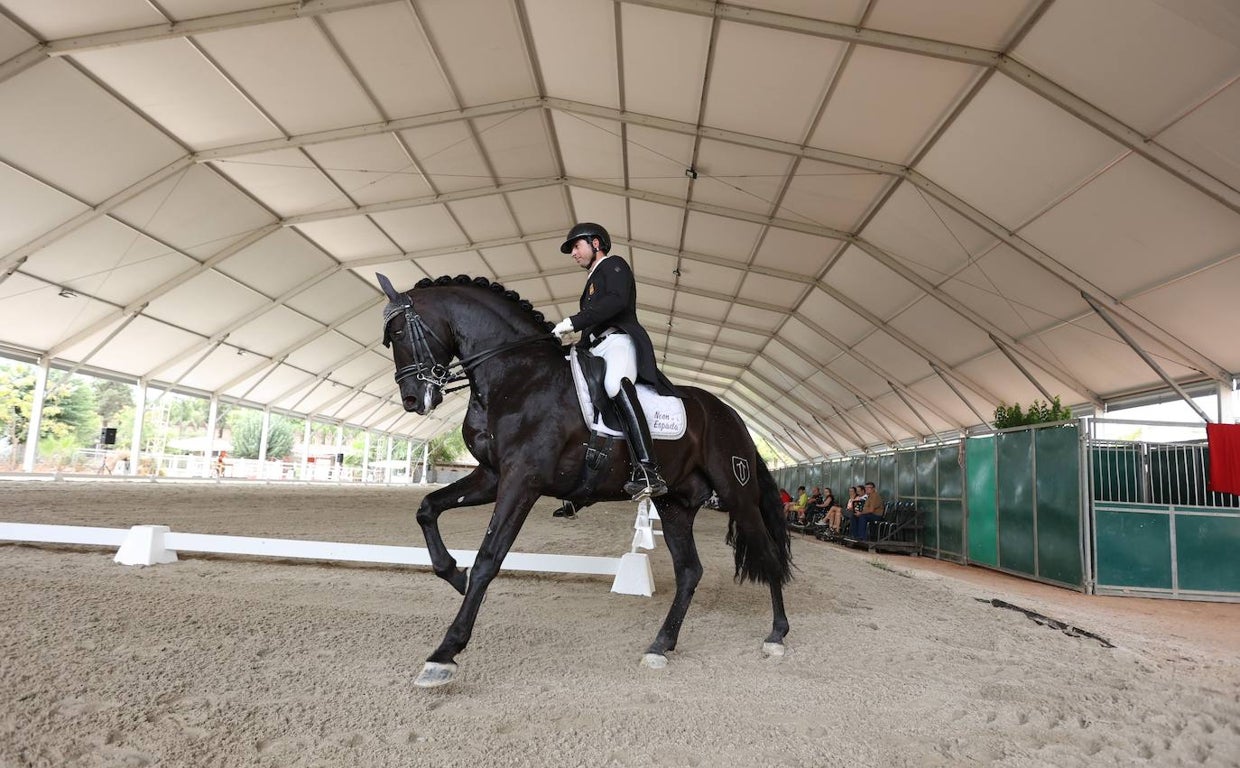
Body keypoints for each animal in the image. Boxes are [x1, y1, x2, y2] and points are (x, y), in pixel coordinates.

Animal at [374, 272, 793, 689]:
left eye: (398, 332)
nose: (412, 400)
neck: (516, 374)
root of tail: (732, 416)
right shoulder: (492, 477)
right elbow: (427, 509)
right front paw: (454, 575)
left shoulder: (521, 480)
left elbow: (488, 559)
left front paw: (445, 652)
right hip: (675, 504)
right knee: (690, 571)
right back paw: (660, 645)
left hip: (738, 494)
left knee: (768, 555)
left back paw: (777, 636)